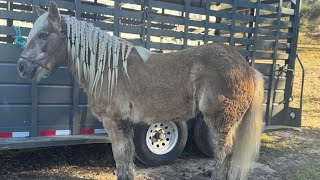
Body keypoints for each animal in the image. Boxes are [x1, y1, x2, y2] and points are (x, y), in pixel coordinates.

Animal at [16, 1, 264, 180]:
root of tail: (247, 67)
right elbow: (125, 161)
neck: (109, 69)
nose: (21, 67)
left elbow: (121, 158)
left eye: (43, 35)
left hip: (221, 121)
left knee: (223, 156)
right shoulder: (125, 125)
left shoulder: (114, 122)